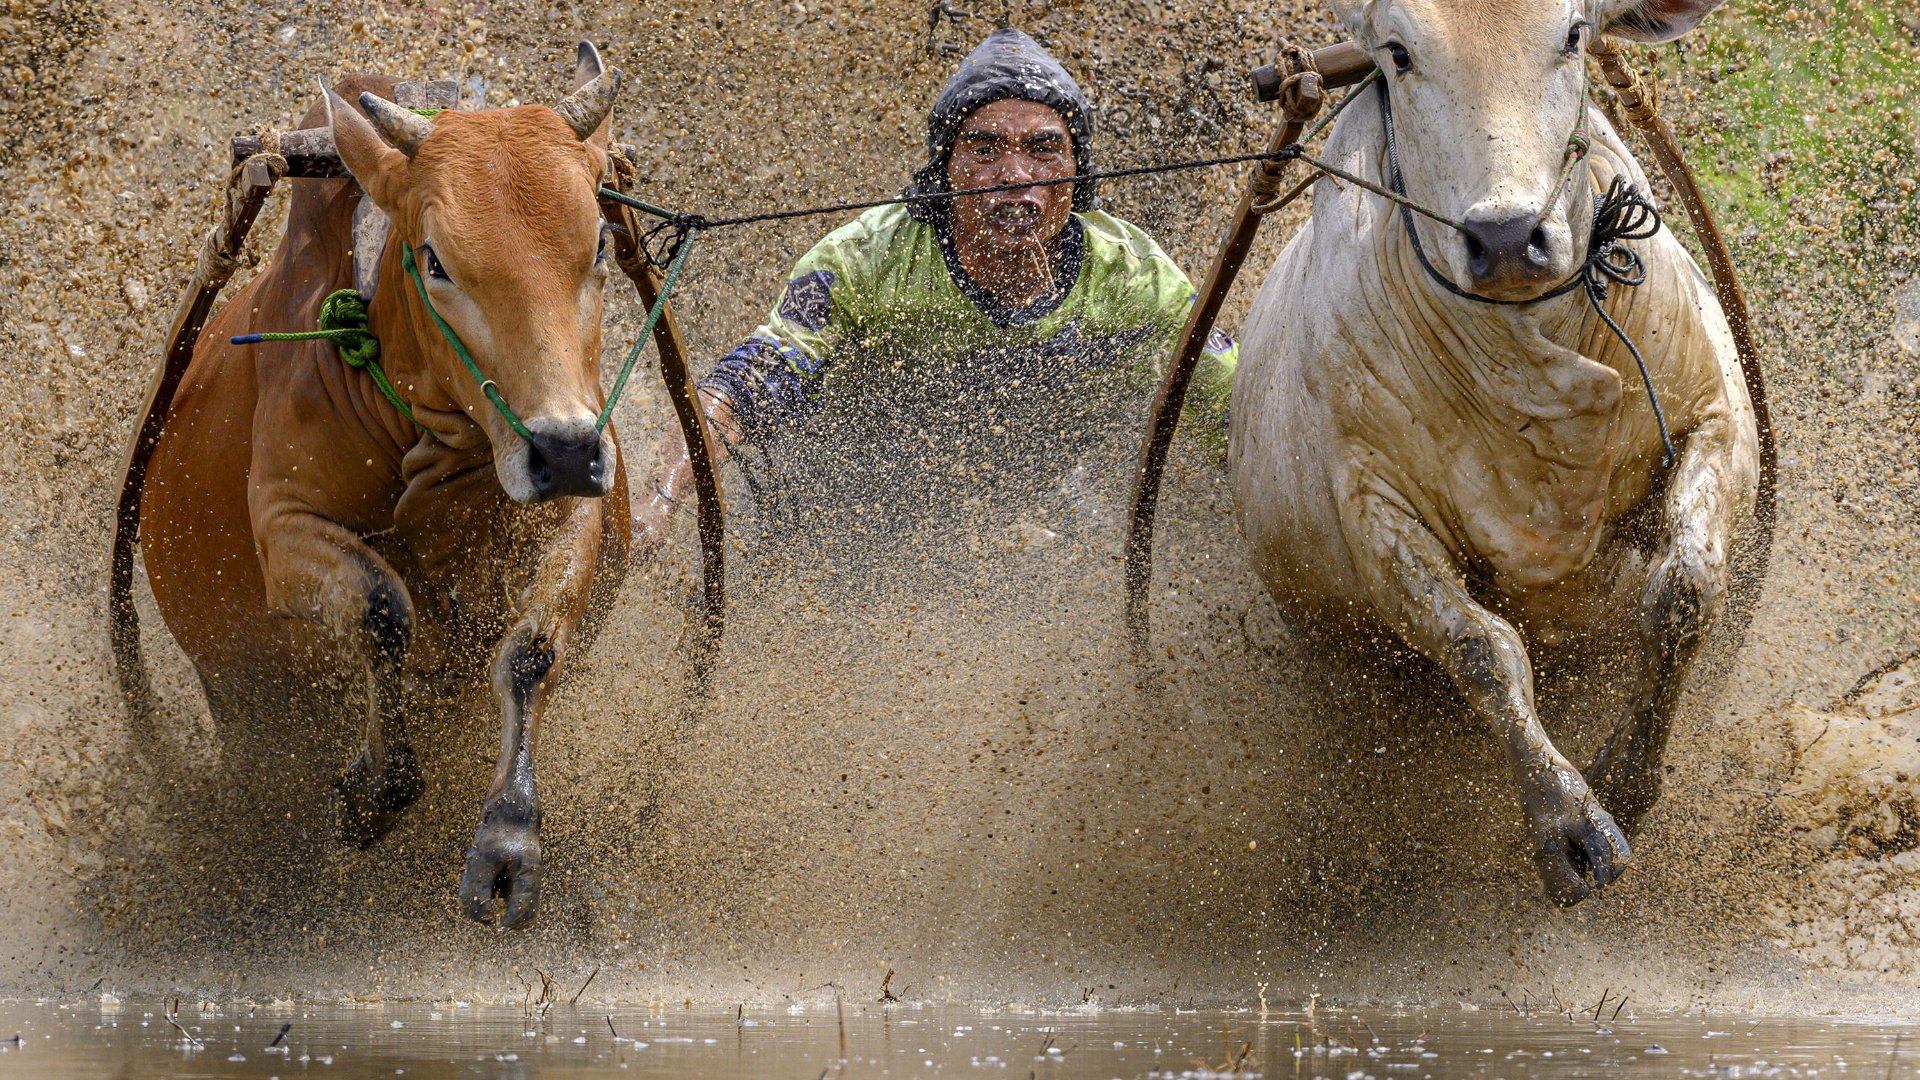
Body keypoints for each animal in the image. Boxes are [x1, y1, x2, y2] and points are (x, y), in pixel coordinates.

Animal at [129, 42, 637, 922]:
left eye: (600, 245)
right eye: (436, 260)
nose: (565, 451)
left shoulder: (575, 514)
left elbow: (530, 652)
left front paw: (508, 838)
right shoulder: (285, 532)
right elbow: (383, 608)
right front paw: (371, 792)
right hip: (236, 696)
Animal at [1228, 0, 1758, 903]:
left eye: (1575, 34)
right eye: (1399, 53)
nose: (1508, 237)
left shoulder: (1714, 417)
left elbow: (1683, 590)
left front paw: (1627, 776)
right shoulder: (1374, 512)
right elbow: (1484, 652)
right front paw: (1568, 826)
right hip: (1330, 655)